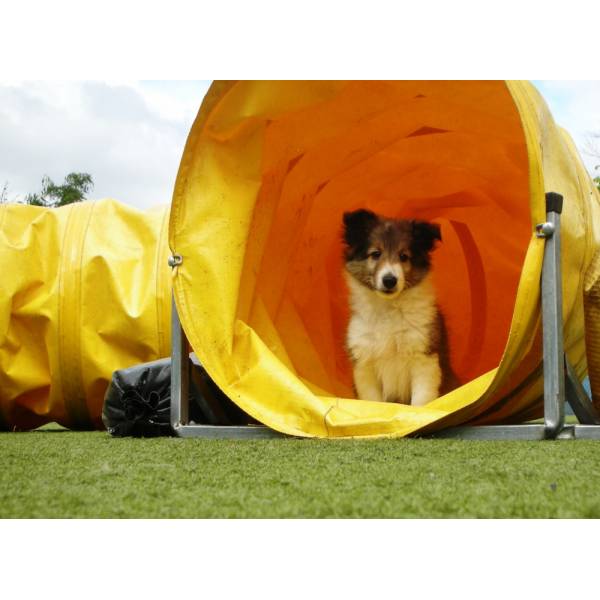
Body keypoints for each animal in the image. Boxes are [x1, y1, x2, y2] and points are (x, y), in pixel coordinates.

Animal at [342, 207, 460, 408]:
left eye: (404, 256)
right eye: (375, 254)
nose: (389, 280)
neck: (388, 307)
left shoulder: (424, 358)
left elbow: (421, 400)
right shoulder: (365, 363)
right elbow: (373, 401)